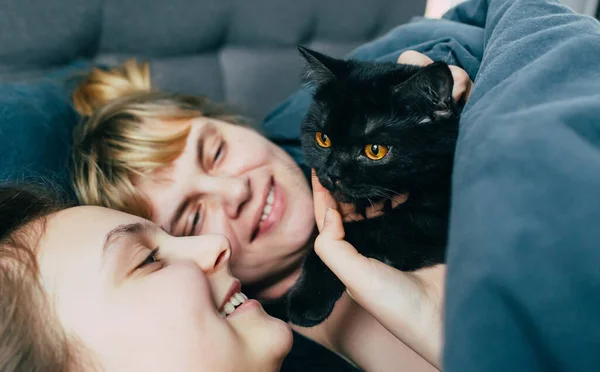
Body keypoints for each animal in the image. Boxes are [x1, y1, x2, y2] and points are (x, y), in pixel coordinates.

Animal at [288, 45, 462, 326]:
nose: (332, 173)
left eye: (375, 150)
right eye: (323, 139)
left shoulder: (431, 222)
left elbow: (364, 232)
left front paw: (306, 298)